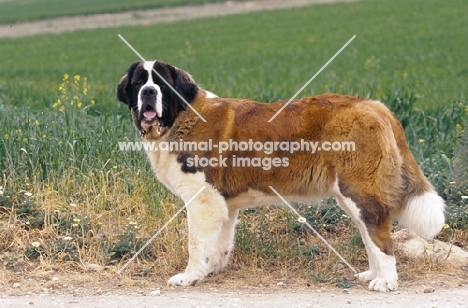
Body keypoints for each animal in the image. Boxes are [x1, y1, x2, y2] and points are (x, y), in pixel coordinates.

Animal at [117, 59, 446, 292]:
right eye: (139, 83)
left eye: (160, 83)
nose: (148, 93)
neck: (181, 116)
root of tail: (375, 106)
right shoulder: (224, 203)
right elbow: (220, 242)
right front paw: (213, 270)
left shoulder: (203, 200)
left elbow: (196, 244)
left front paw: (190, 276)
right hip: (350, 194)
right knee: (369, 234)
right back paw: (373, 273)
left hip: (360, 191)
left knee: (379, 235)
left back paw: (386, 281)